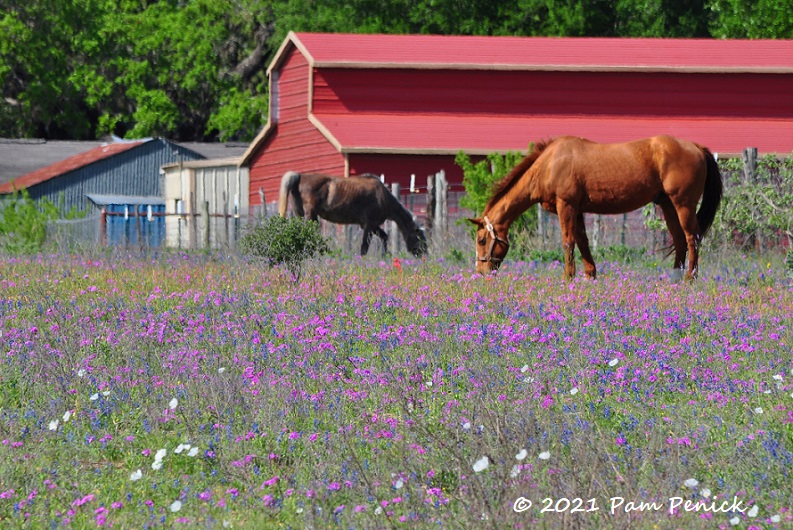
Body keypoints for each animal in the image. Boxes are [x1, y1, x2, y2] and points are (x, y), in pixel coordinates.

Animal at [278, 171, 426, 256]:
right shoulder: (369, 225)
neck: (383, 197)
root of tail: (299, 177)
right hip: (310, 217)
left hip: (300, 215)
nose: (424, 256)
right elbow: (364, 247)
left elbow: (384, 237)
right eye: (420, 239)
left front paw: (385, 255)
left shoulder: (371, 225)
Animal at [470, 134, 724, 278]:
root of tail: (696, 147)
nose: (481, 272)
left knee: (692, 239)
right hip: (668, 205)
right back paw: (674, 280)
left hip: (683, 204)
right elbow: (583, 242)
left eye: (482, 240)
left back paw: (690, 278)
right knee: (680, 241)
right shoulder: (578, 210)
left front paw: (568, 278)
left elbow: (568, 243)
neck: (549, 164)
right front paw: (590, 276)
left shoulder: (566, 206)